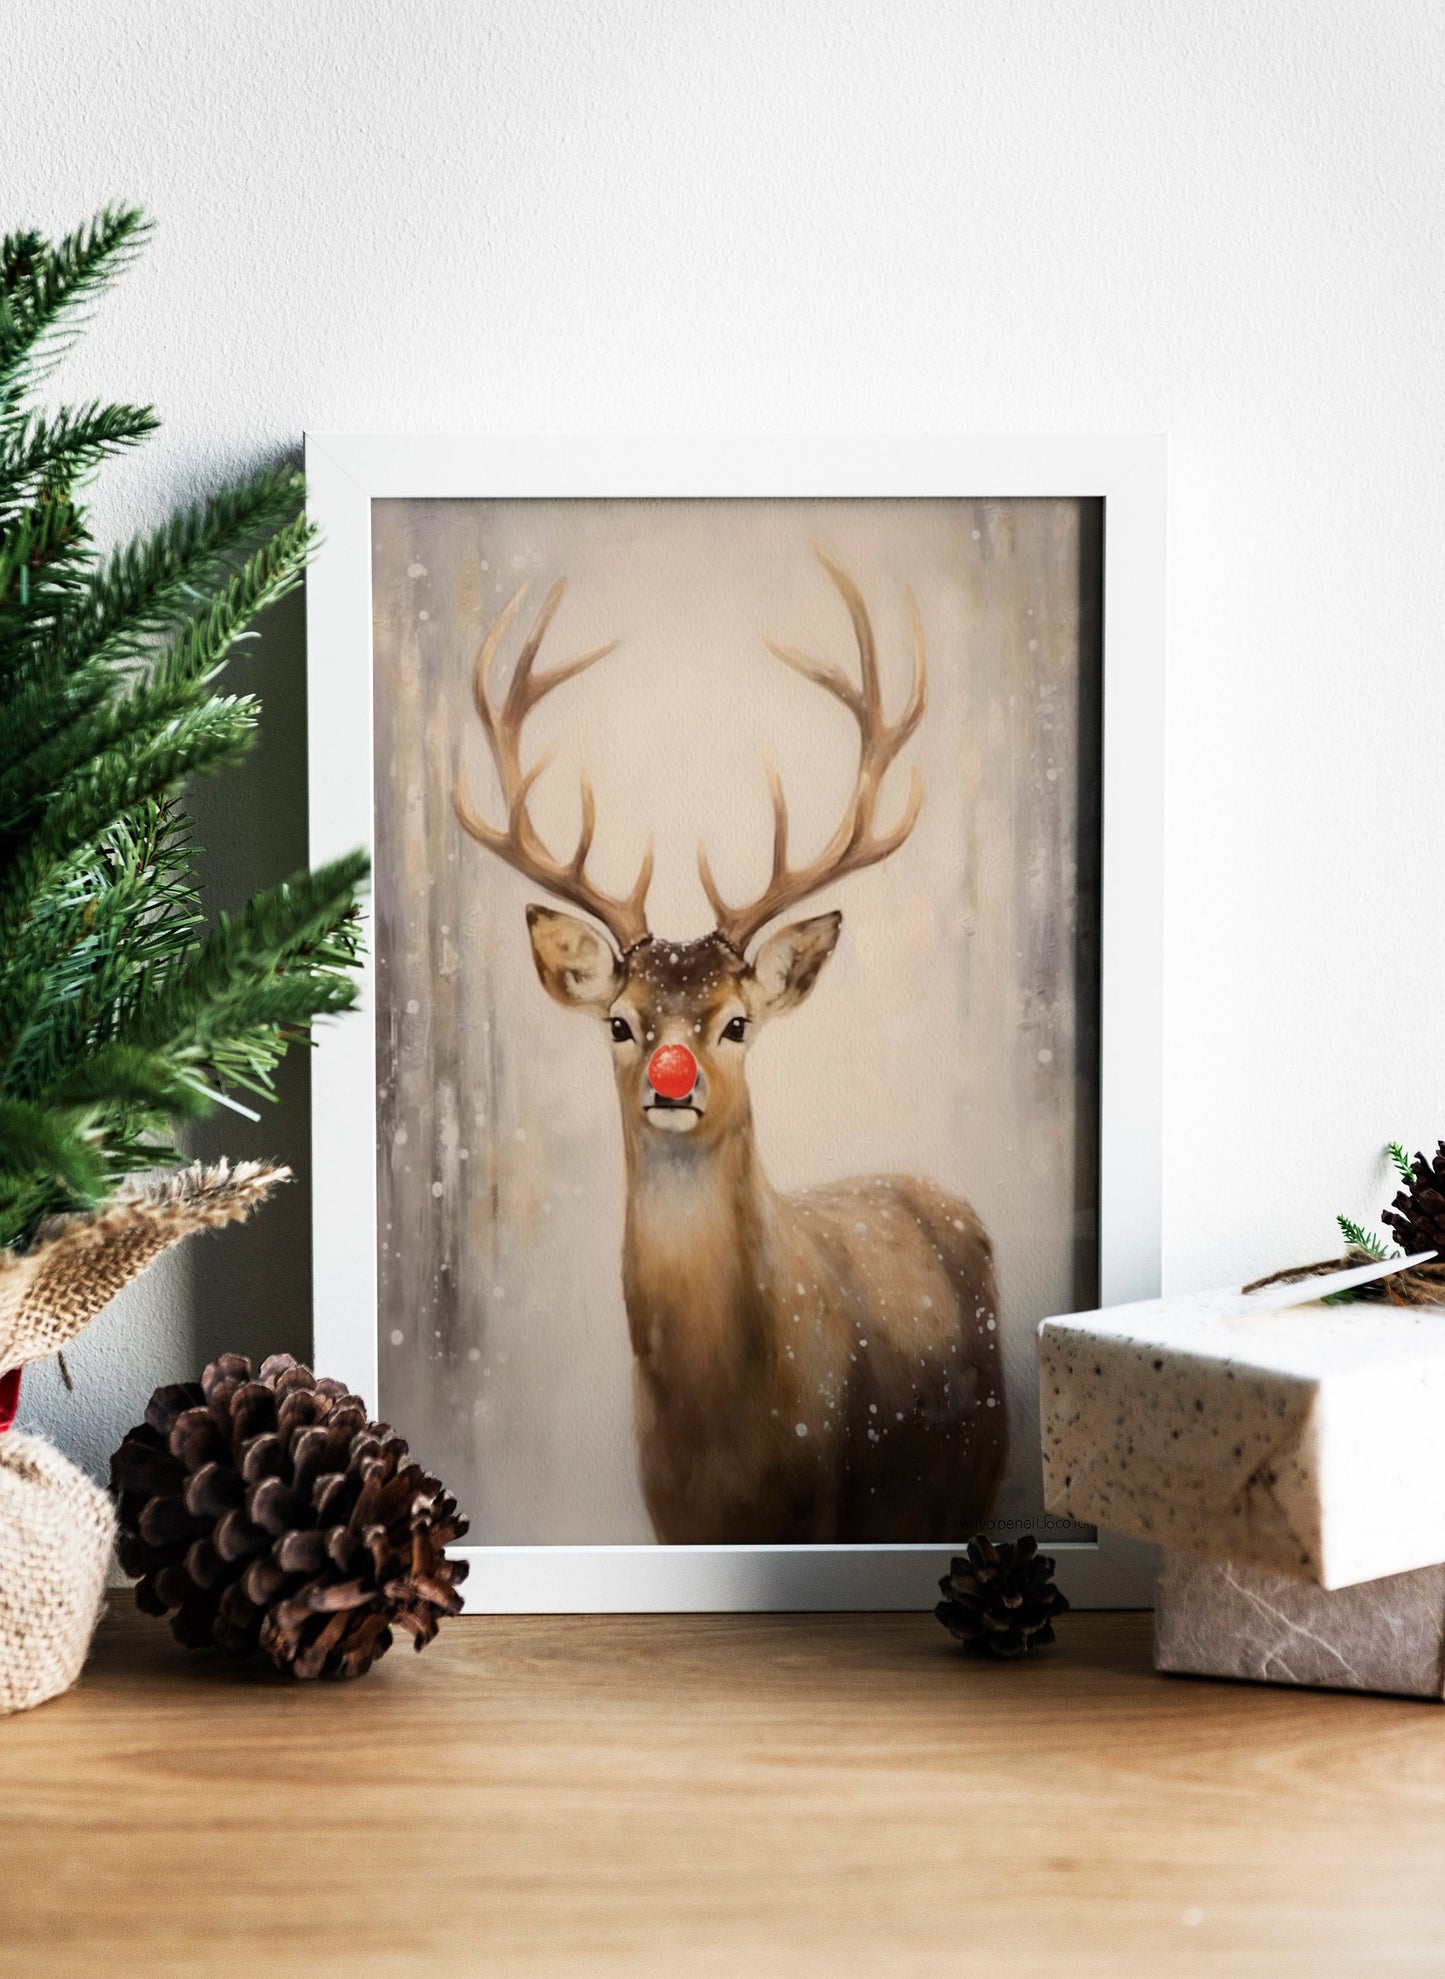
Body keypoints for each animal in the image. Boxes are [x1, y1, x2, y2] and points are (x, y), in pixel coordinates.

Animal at [452, 552, 1007, 1544]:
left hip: (975, 1469)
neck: (724, 1437)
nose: (673, 1082)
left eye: (737, 1022)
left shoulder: (827, 1503)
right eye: (619, 1021)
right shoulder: (668, 1513)